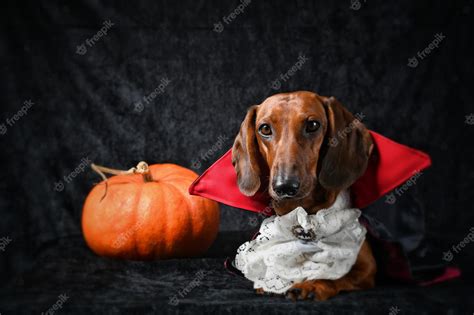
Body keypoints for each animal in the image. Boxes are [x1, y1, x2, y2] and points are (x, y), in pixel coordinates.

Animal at [231, 90, 376, 302]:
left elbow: (336, 275)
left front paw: (312, 284)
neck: (304, 214)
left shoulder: (367, 268)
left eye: (313, 125)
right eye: (264, 129)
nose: (284, 186)